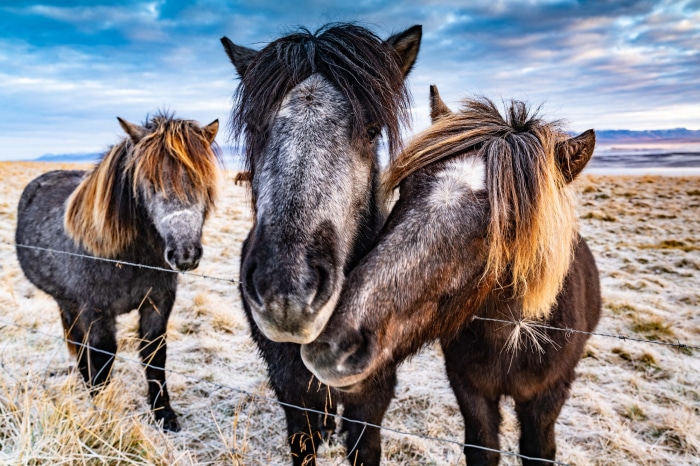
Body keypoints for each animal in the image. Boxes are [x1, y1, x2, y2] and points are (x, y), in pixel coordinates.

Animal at [16, 113, 220, 432]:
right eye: (149, 183)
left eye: (203, 182)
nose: (185, 254)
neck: (130, 259)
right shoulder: (96, 310)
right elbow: (102, 357)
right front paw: (101, 411)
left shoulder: (157, 304)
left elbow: (154, 355)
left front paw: (164, 414)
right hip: (67, 302)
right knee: (78, 341)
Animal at [221, 23, 421, 465]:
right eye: (256, 128)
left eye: (372, 131)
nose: (286, 295)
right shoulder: (290, 388)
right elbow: (304, 440)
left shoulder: (373, 395)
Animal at [302, 86, 601, 465]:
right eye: (406, 187)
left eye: (509, 225)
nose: (332, 346)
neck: (514, 334)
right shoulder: (469, 391)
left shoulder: (547, 399)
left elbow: (539, 451)